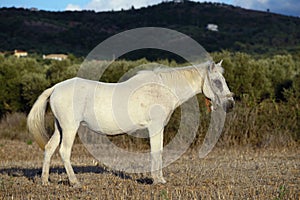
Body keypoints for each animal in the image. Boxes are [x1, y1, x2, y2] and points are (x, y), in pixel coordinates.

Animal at [27, 60, 234, 187]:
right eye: (217, 81)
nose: (230, 104)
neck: (162, 89)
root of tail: (56, 88)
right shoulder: (156, 127)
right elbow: (157, 152)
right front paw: (158, 180)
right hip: (70, 128)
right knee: (64, 152)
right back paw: (75, 182)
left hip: (60, 128)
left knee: (49, 148)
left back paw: (45, 181)